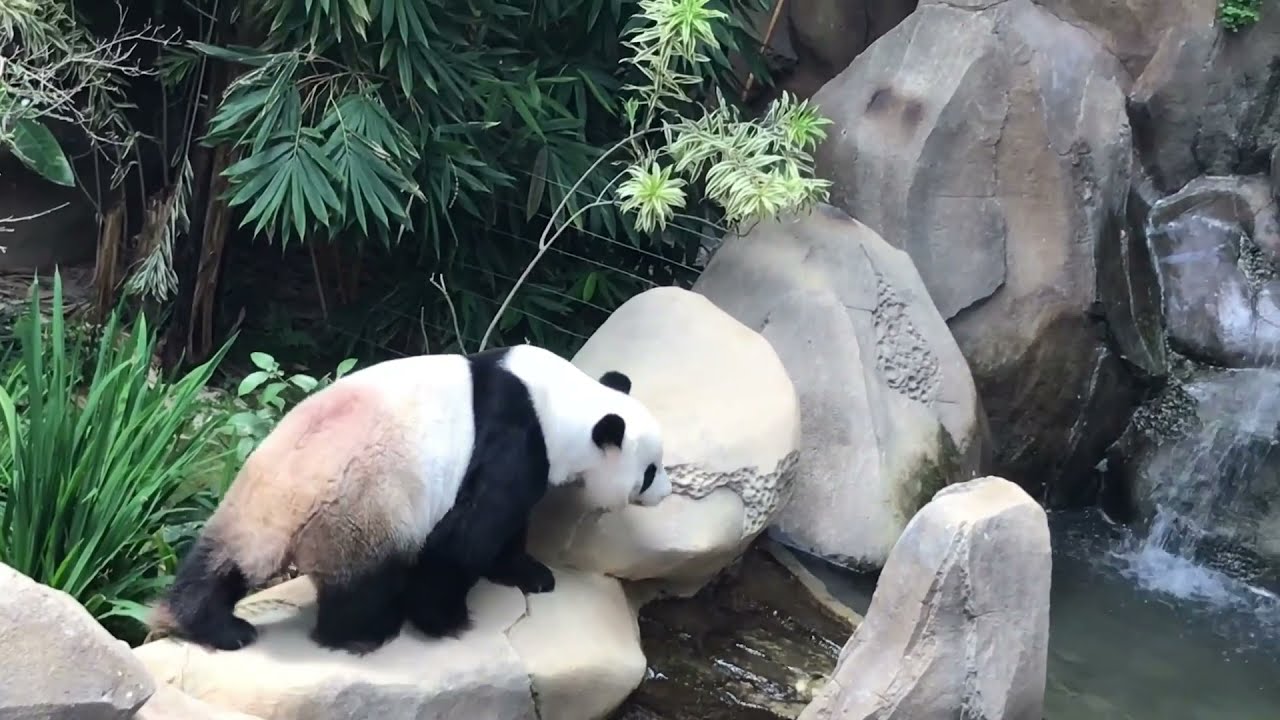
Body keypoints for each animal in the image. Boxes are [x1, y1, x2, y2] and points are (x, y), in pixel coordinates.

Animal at [147, 344, 671, 655]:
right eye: (650, 470)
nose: (666, 491)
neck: (560, 402)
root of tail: (283, 514)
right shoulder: (514, 438)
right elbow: (471, 533)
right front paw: (447, 619)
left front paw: (530, 574)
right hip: (364, 511)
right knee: (366, 578)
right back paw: (365, 630)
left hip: (246, 500)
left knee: (217, 563)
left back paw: (216, 626)